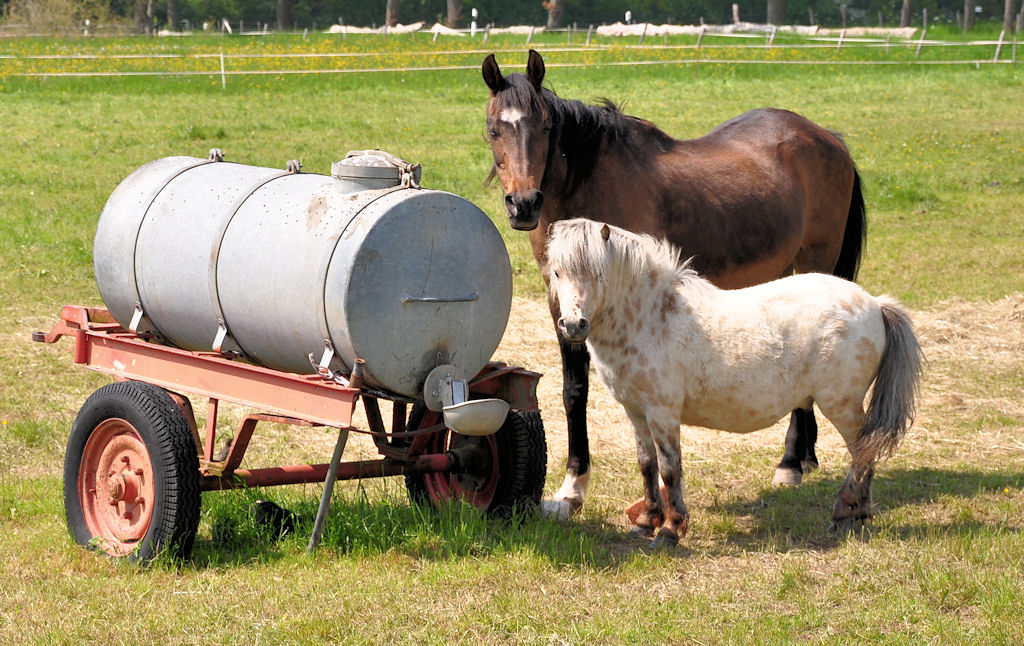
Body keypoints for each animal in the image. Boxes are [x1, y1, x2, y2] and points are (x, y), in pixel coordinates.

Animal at [483, 50, 868, 513]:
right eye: (493, 129)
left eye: (543, 127)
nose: (524, 204)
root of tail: (828, 138)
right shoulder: (561, 304)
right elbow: (574, 391)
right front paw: (572, 487)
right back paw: (806, 456)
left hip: (817, 261)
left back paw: (791, 461)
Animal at [548, 220, 925, 548]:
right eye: (556, 272)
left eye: (598, 273)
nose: (573, 325)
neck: (651, 316)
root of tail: (875, 303)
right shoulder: (637, 413)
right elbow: (647, 465)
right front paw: (646, 521)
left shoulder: (663, 414)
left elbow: (670, 470)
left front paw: (670, 530)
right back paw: (859, 512)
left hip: (840, 405)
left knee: (862, 451)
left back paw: (845, 511)